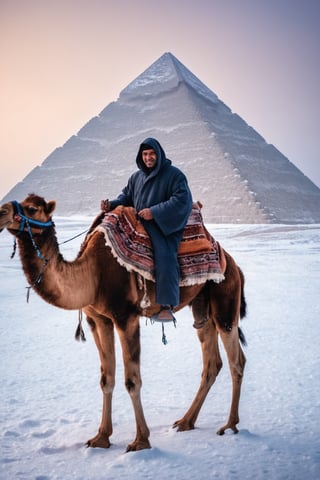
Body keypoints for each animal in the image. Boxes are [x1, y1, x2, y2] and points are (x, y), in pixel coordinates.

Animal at [0, 194, 248, 450]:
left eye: (31, 208)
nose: (1, 212)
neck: (92, 274)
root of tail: (234, 265)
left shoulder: (125, 317)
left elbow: (132, 380)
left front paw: (140, 441)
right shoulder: (98, 320)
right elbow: (106, 378)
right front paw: (101, 437)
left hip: (226, 296)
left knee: (236, 361)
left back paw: (230, 425)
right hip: (201, 307)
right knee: (211, 362)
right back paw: (186, 421)